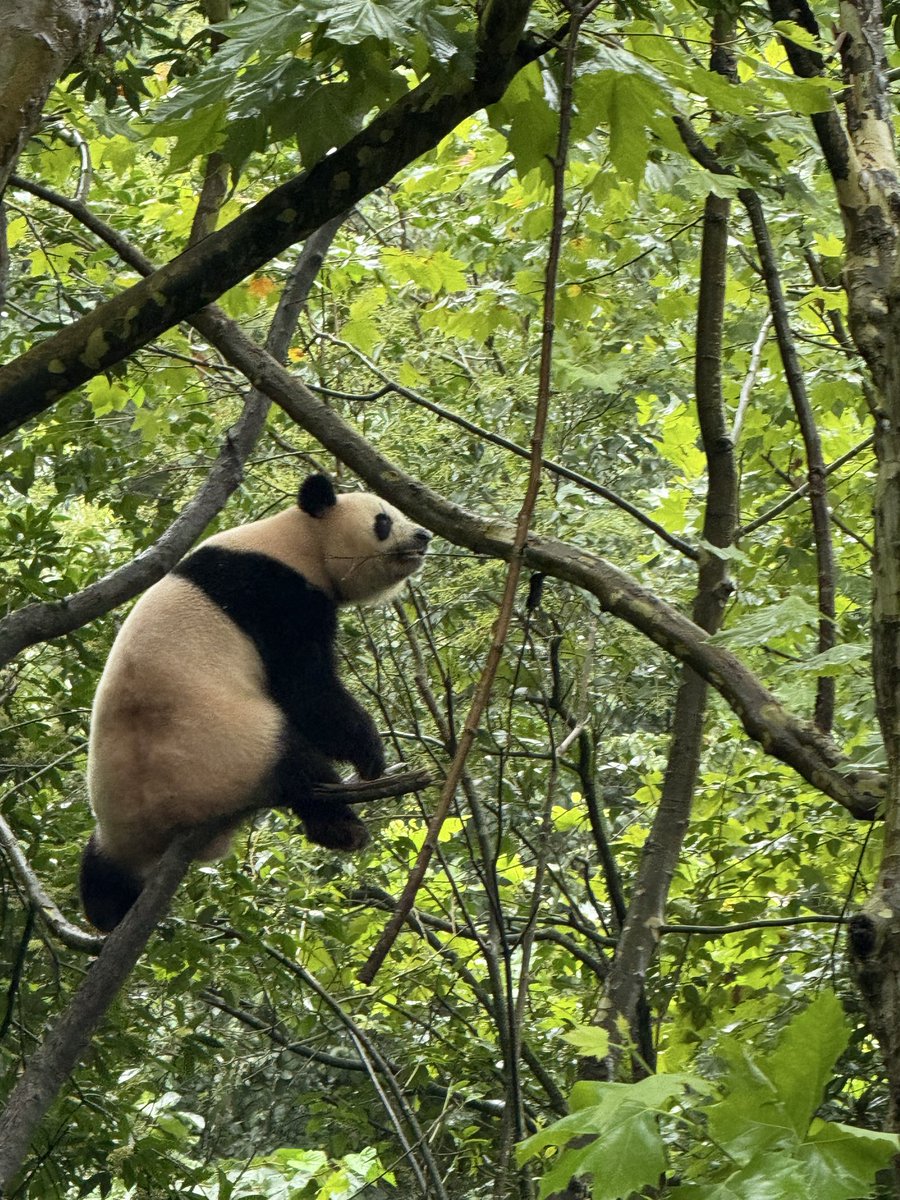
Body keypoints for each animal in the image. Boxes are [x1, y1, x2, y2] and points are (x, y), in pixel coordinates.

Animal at [80, 472, 431, 932]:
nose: (424, 536)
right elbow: (306, 689)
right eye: (384, 521)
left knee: (99, 865)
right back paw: (341, 827)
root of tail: (157, 831)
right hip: (229, 752)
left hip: (117, 821)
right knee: (299, 764)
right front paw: (370, 754)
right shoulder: (275, 597)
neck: (297, 540)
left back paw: (107, 910)